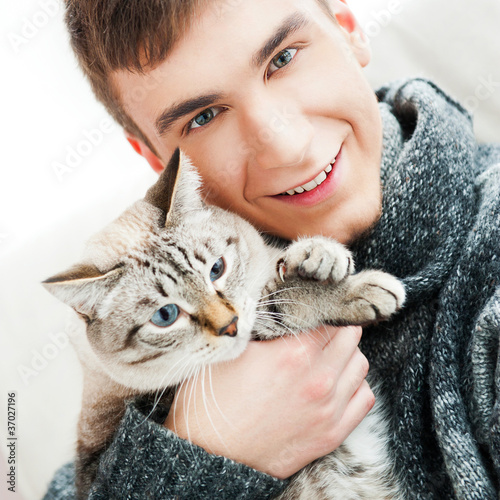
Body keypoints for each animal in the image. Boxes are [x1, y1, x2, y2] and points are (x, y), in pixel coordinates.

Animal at [44, 149, 406, 500]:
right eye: (165, 316)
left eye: (217, 269)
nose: (229, 326)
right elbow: (281, 303)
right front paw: (364, 290)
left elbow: (282, 270)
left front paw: (319, 254)